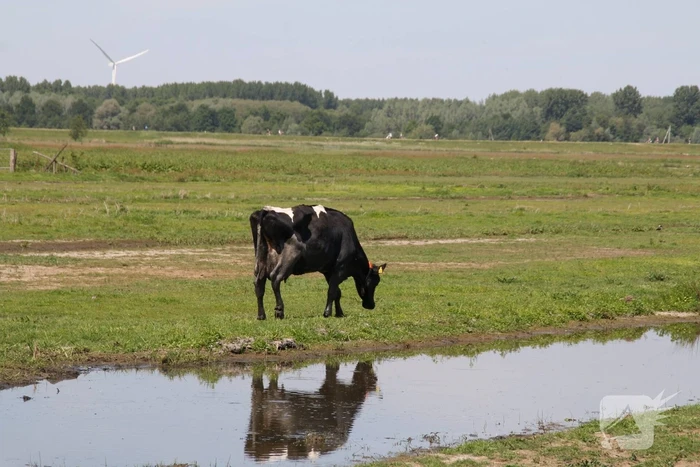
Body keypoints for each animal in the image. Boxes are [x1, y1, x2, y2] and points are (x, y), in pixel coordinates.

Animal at [249, 205, 386, 320]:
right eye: (375, 282)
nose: (371, 305)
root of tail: (266, 210)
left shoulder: (328, 271)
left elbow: (337, 292)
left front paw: (339, 313)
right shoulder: (339, 269)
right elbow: (332, 291)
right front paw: (327, 313)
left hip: (261, 259)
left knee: (259, 283)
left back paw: (261, 315)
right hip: (289, 256)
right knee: (275, 278)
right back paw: (279, 311)